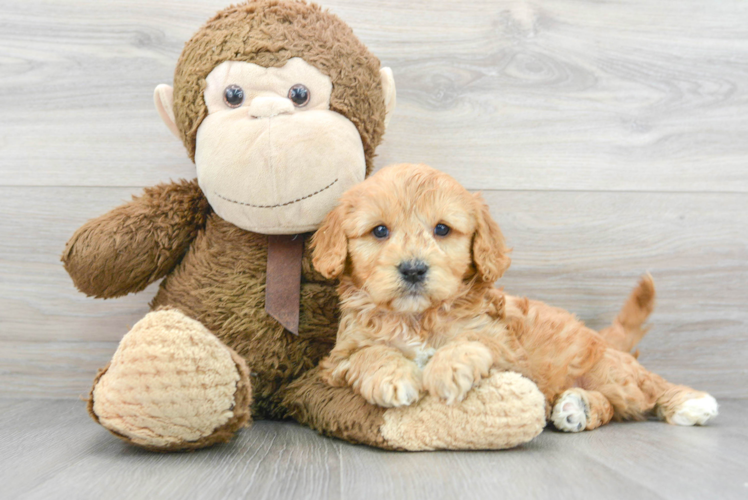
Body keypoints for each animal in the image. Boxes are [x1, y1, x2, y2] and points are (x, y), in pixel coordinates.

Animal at [312, 166, 720, 432]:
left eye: (442, 229)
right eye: (379, 231)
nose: (413, 269)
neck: (417, 318)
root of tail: (602, 339)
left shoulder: (505, 347)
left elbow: (471, 341)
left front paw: (448, 368)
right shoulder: (337, 359)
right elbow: (369, 354)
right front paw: (394, 377)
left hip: (612, 371)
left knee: (647, 386)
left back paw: (690, 402)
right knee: (611, 407)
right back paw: (577, 408)